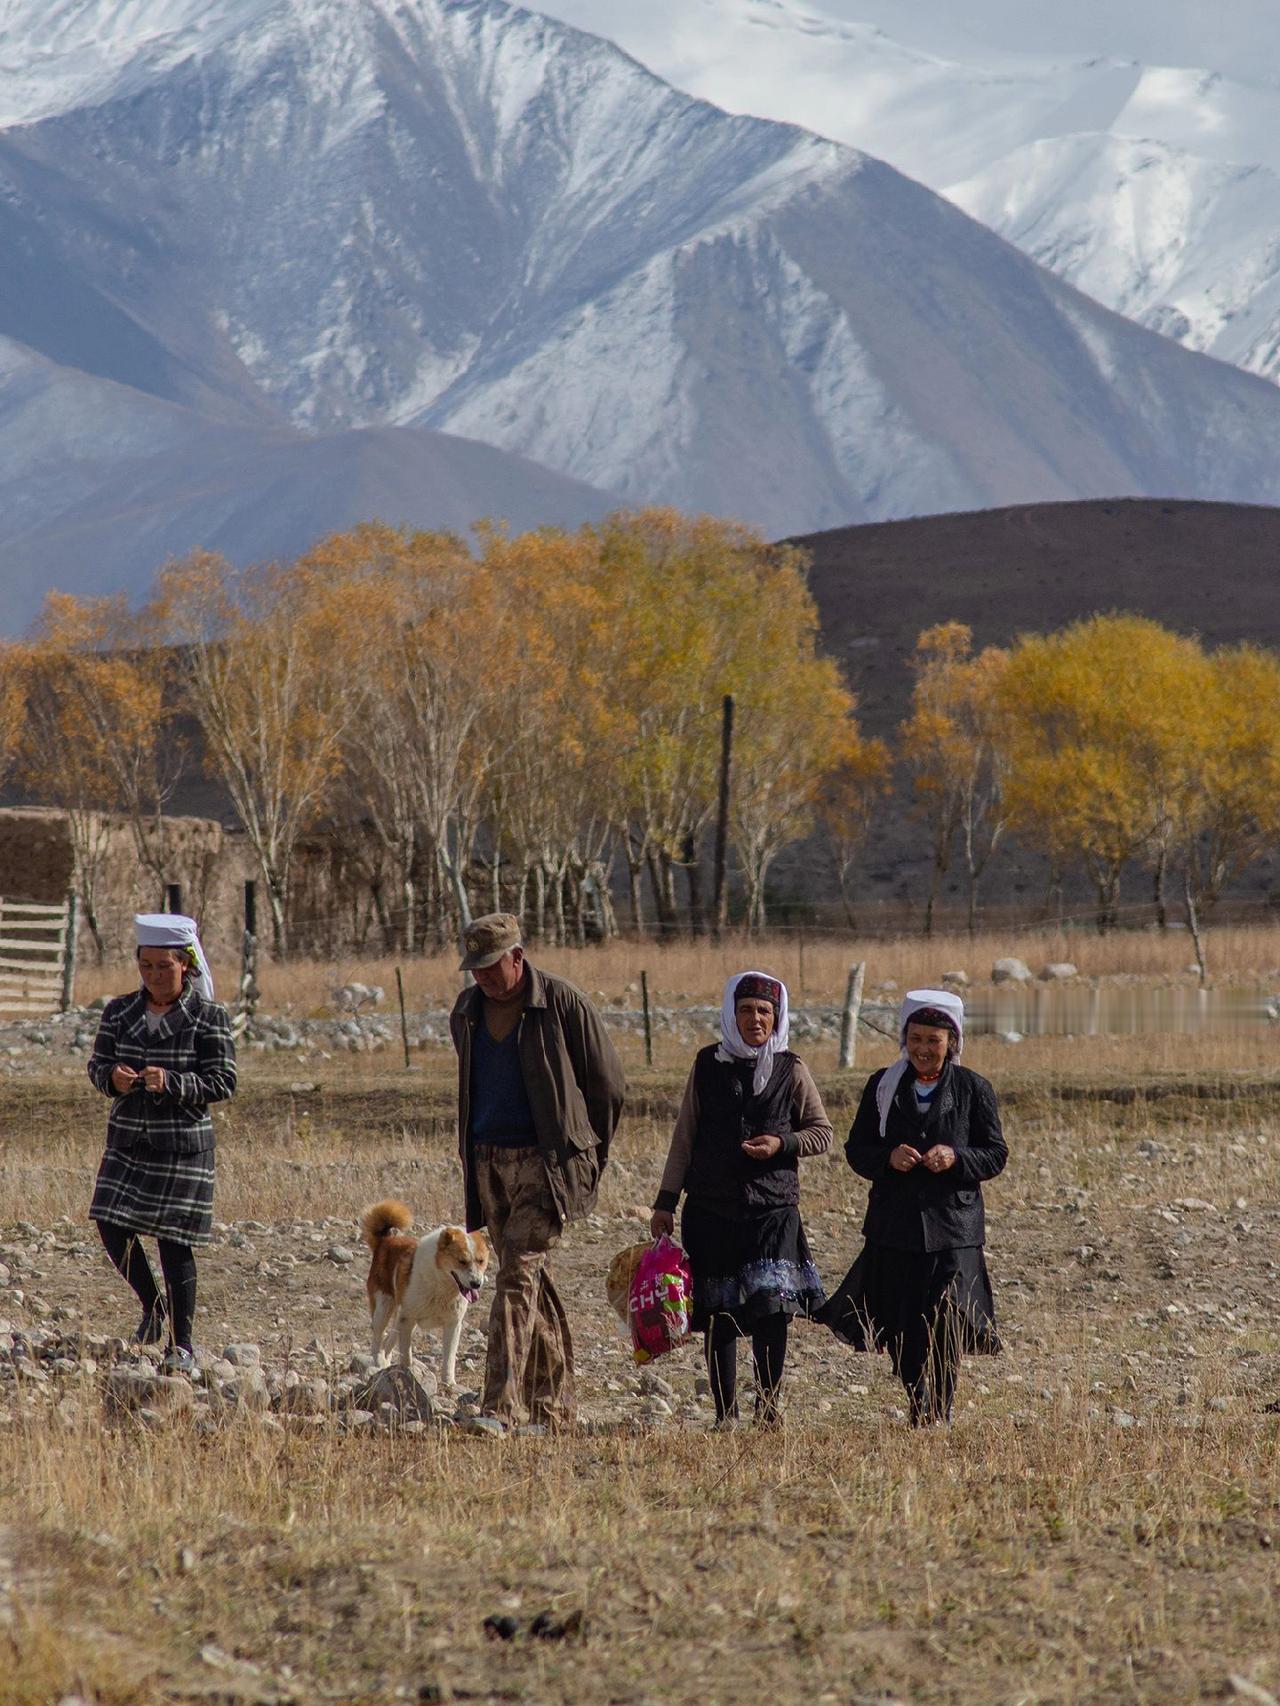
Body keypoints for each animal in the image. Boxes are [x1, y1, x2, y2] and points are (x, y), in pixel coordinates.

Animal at [361, 1201, 491, 1385]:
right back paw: (378, 1364)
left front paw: (449, 1383)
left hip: (401, 1318)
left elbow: (449, 1358)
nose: (476, 1284)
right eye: (462, 1261)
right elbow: (406, 1357)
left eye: (481, 1261)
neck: (440, 1284)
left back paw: (385, 1363)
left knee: (388, 1341)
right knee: (377, 1340)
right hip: (383, 1309)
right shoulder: (407, 1321)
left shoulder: (452, 1324)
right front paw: (408, 1376)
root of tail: (385, 1240)